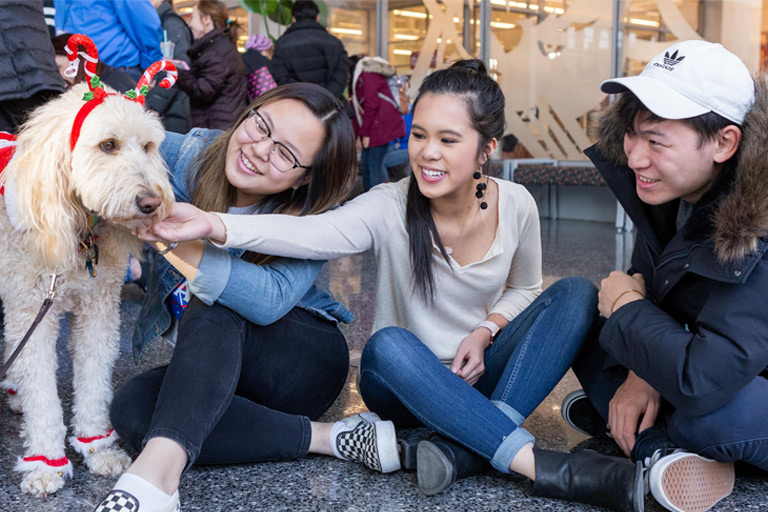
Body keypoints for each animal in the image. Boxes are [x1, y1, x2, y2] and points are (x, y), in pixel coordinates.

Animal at [0, 83, 174, 496]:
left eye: (148, 146)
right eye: (108, 145)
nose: (151, 203)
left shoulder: (98, 309)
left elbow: (94, 380)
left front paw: (98, 448)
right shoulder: (31, 310)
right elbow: (42, 394)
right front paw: (45, 465)